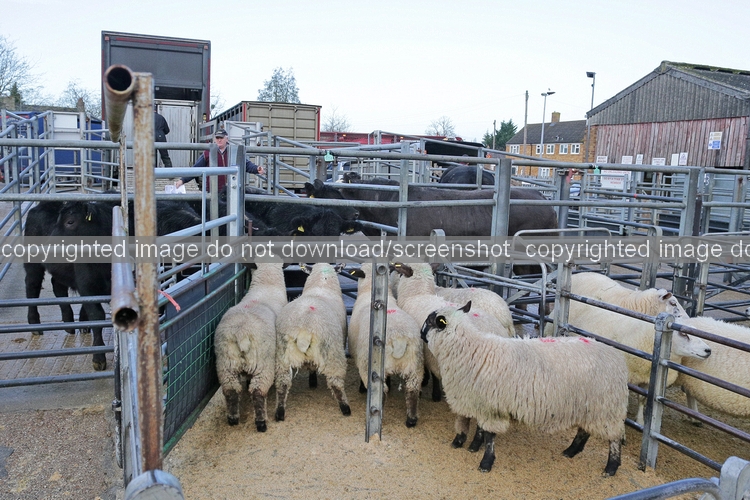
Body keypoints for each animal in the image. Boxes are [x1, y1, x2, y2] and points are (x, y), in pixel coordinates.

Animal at [214, 263, 287, 430]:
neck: (267, 284)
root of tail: (242, 332)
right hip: (263, 365)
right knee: (258, 391)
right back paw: (261, 423)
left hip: (226, 364)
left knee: (231, 390)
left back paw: (233, 419)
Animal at [275, 263, 351, 420]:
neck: (321, 284)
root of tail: (305, 326)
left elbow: (311, 366)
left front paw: (312, 380)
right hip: (333, 352)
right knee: (336, 382)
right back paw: (345, 408)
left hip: (282, 354)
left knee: (282, 383)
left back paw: (279, 412)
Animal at [348, 263, 424, 427]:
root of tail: (399, 338)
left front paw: (361, 388)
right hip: (415, 365)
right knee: (412, 390)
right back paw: (411, 420)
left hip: (369, 364)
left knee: (381, 392)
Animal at [421, 301, 630, 476]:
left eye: (430, 321)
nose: (420, 334)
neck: (471, 349)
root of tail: (617, 357)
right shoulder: (481, 400)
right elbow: (480, 428)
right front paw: (473, 446)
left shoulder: (490, 404)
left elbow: (489, 435)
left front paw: (486, 462)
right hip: (590, 405)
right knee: (584, 430)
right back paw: (571, 451)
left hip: (607, 407)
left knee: (614, 437)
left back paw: (611, 467)